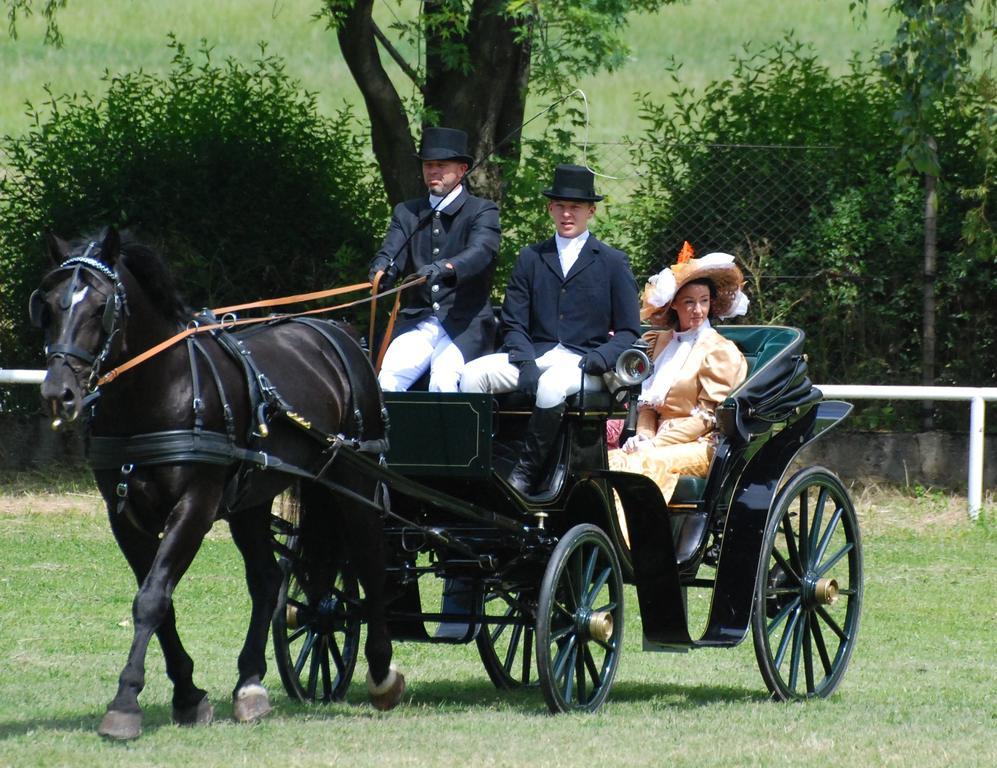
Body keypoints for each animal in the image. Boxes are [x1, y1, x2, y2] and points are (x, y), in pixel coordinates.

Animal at [31, 226, 404, 736]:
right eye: (48, 304)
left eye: (100, 306)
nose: (58, 393)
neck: (154, 392)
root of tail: (340, 333)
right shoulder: (123, 515)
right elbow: (160, 601)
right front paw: (188, 695)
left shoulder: (196, 506)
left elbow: (152, 598)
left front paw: (125, 702)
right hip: (252, 499)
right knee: (268, 579)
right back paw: (250, 685)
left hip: (355, 481)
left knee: (369, 561)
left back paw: (382, 673)